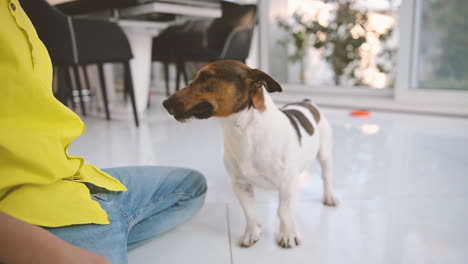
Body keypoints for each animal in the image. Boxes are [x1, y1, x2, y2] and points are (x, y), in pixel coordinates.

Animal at [163, 59, 338, 248]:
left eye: (205, 77)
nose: (165, 103)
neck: (244, 131)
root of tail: (307, 101)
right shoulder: (240, 185)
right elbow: (249, 211)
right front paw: (252, 232)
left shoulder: (287, 185)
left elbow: (284, 211)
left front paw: (288, 234)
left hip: (324, 154)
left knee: (326, 176)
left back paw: (329, 197)